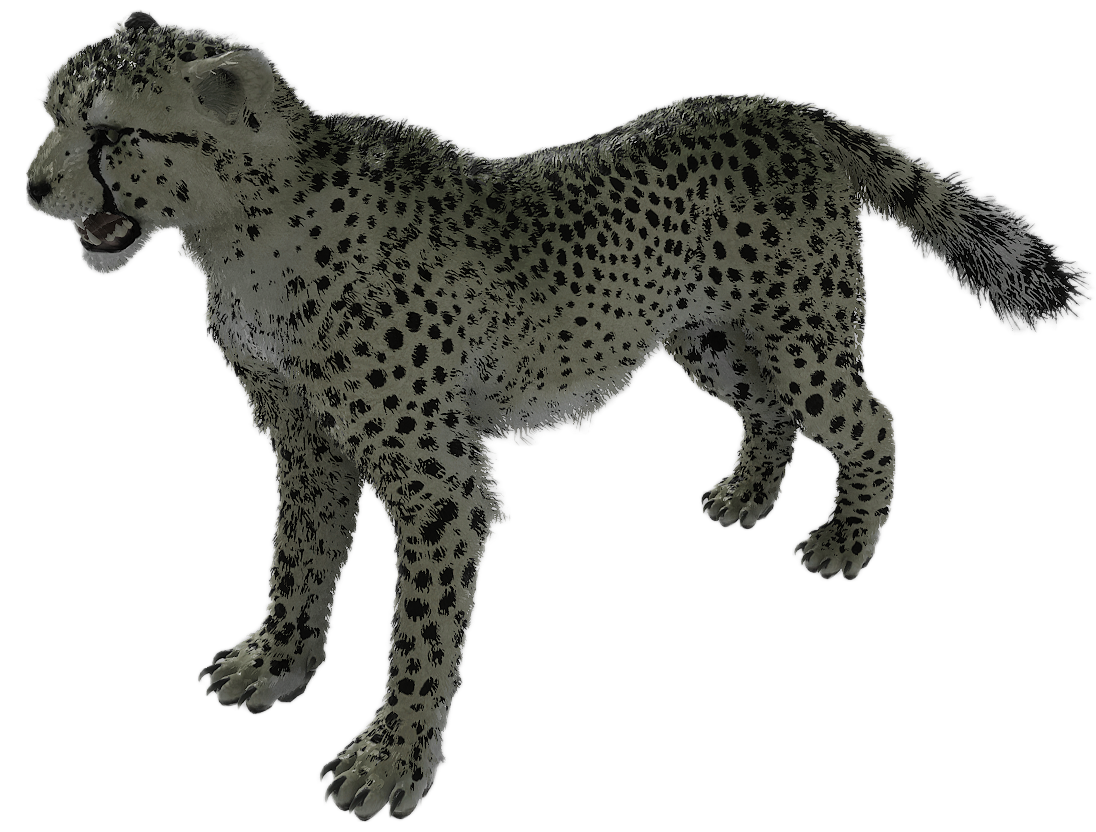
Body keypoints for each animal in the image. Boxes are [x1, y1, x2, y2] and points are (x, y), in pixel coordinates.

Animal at [25, 9, 1093, 822]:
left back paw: (847, 540)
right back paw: (747, 494)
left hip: (795, 332)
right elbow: (298, 556)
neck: (242, 226)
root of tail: (784, 107)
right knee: (772, 411)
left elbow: (417, 631)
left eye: (112, 134)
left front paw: (390, 760)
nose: (33, 187)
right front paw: (276, 662)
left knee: (873, 416)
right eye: (50, 116)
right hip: (709, 339)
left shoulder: (440, 481)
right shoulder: (306, 439)